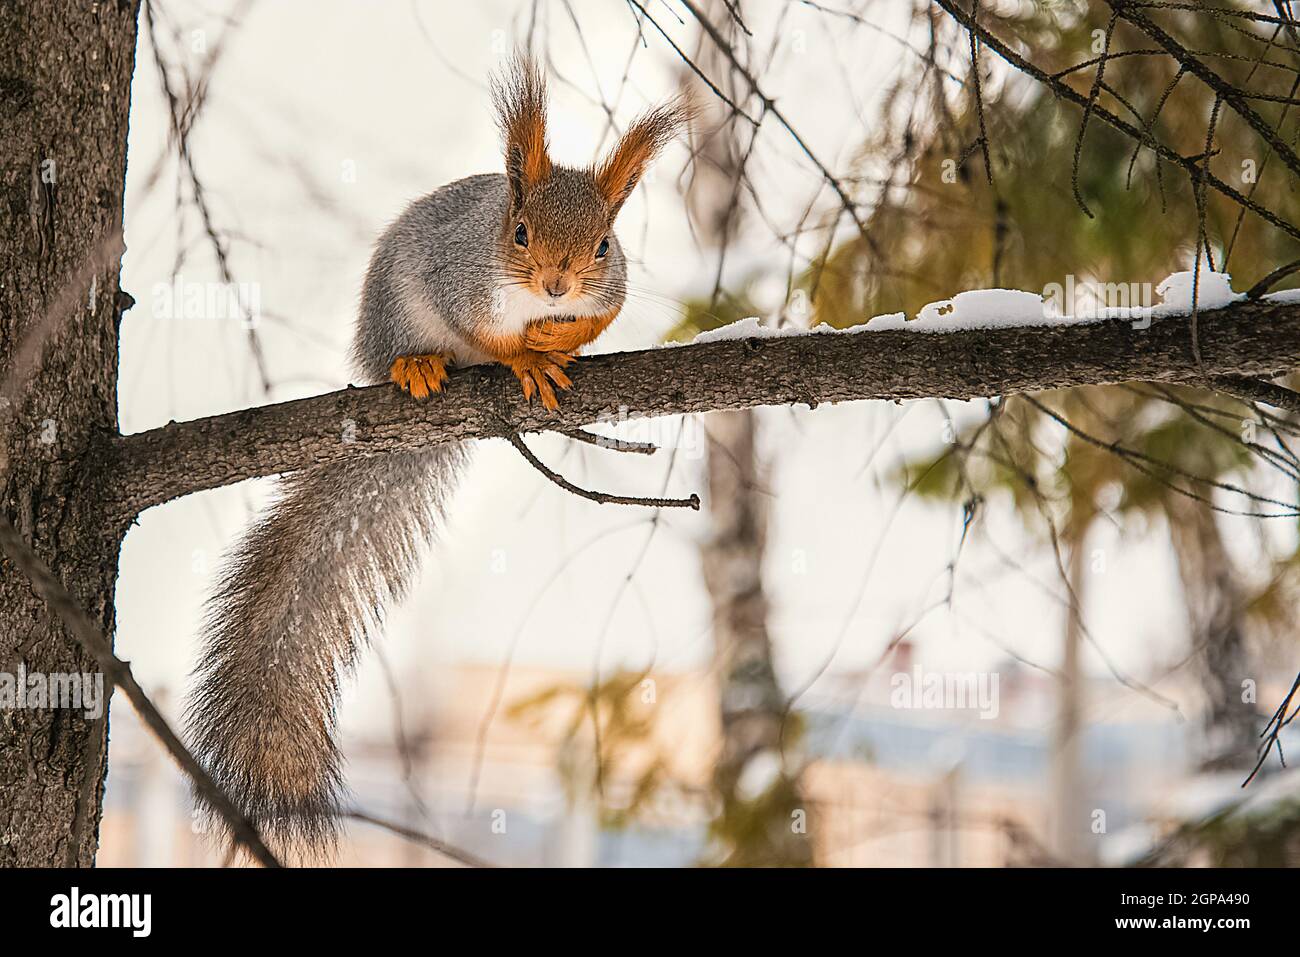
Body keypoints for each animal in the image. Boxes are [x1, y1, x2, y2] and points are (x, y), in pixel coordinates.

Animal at [185, 57, 691, 858]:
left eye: (605, 245)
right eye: (520, 232)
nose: (557, 285)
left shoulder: (609, 291)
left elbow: (601, 317)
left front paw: (564, 340)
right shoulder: (457, 281)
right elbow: (487, 334)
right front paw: (526, 356)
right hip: (392, 314)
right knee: (416, 347)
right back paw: (420, 366)